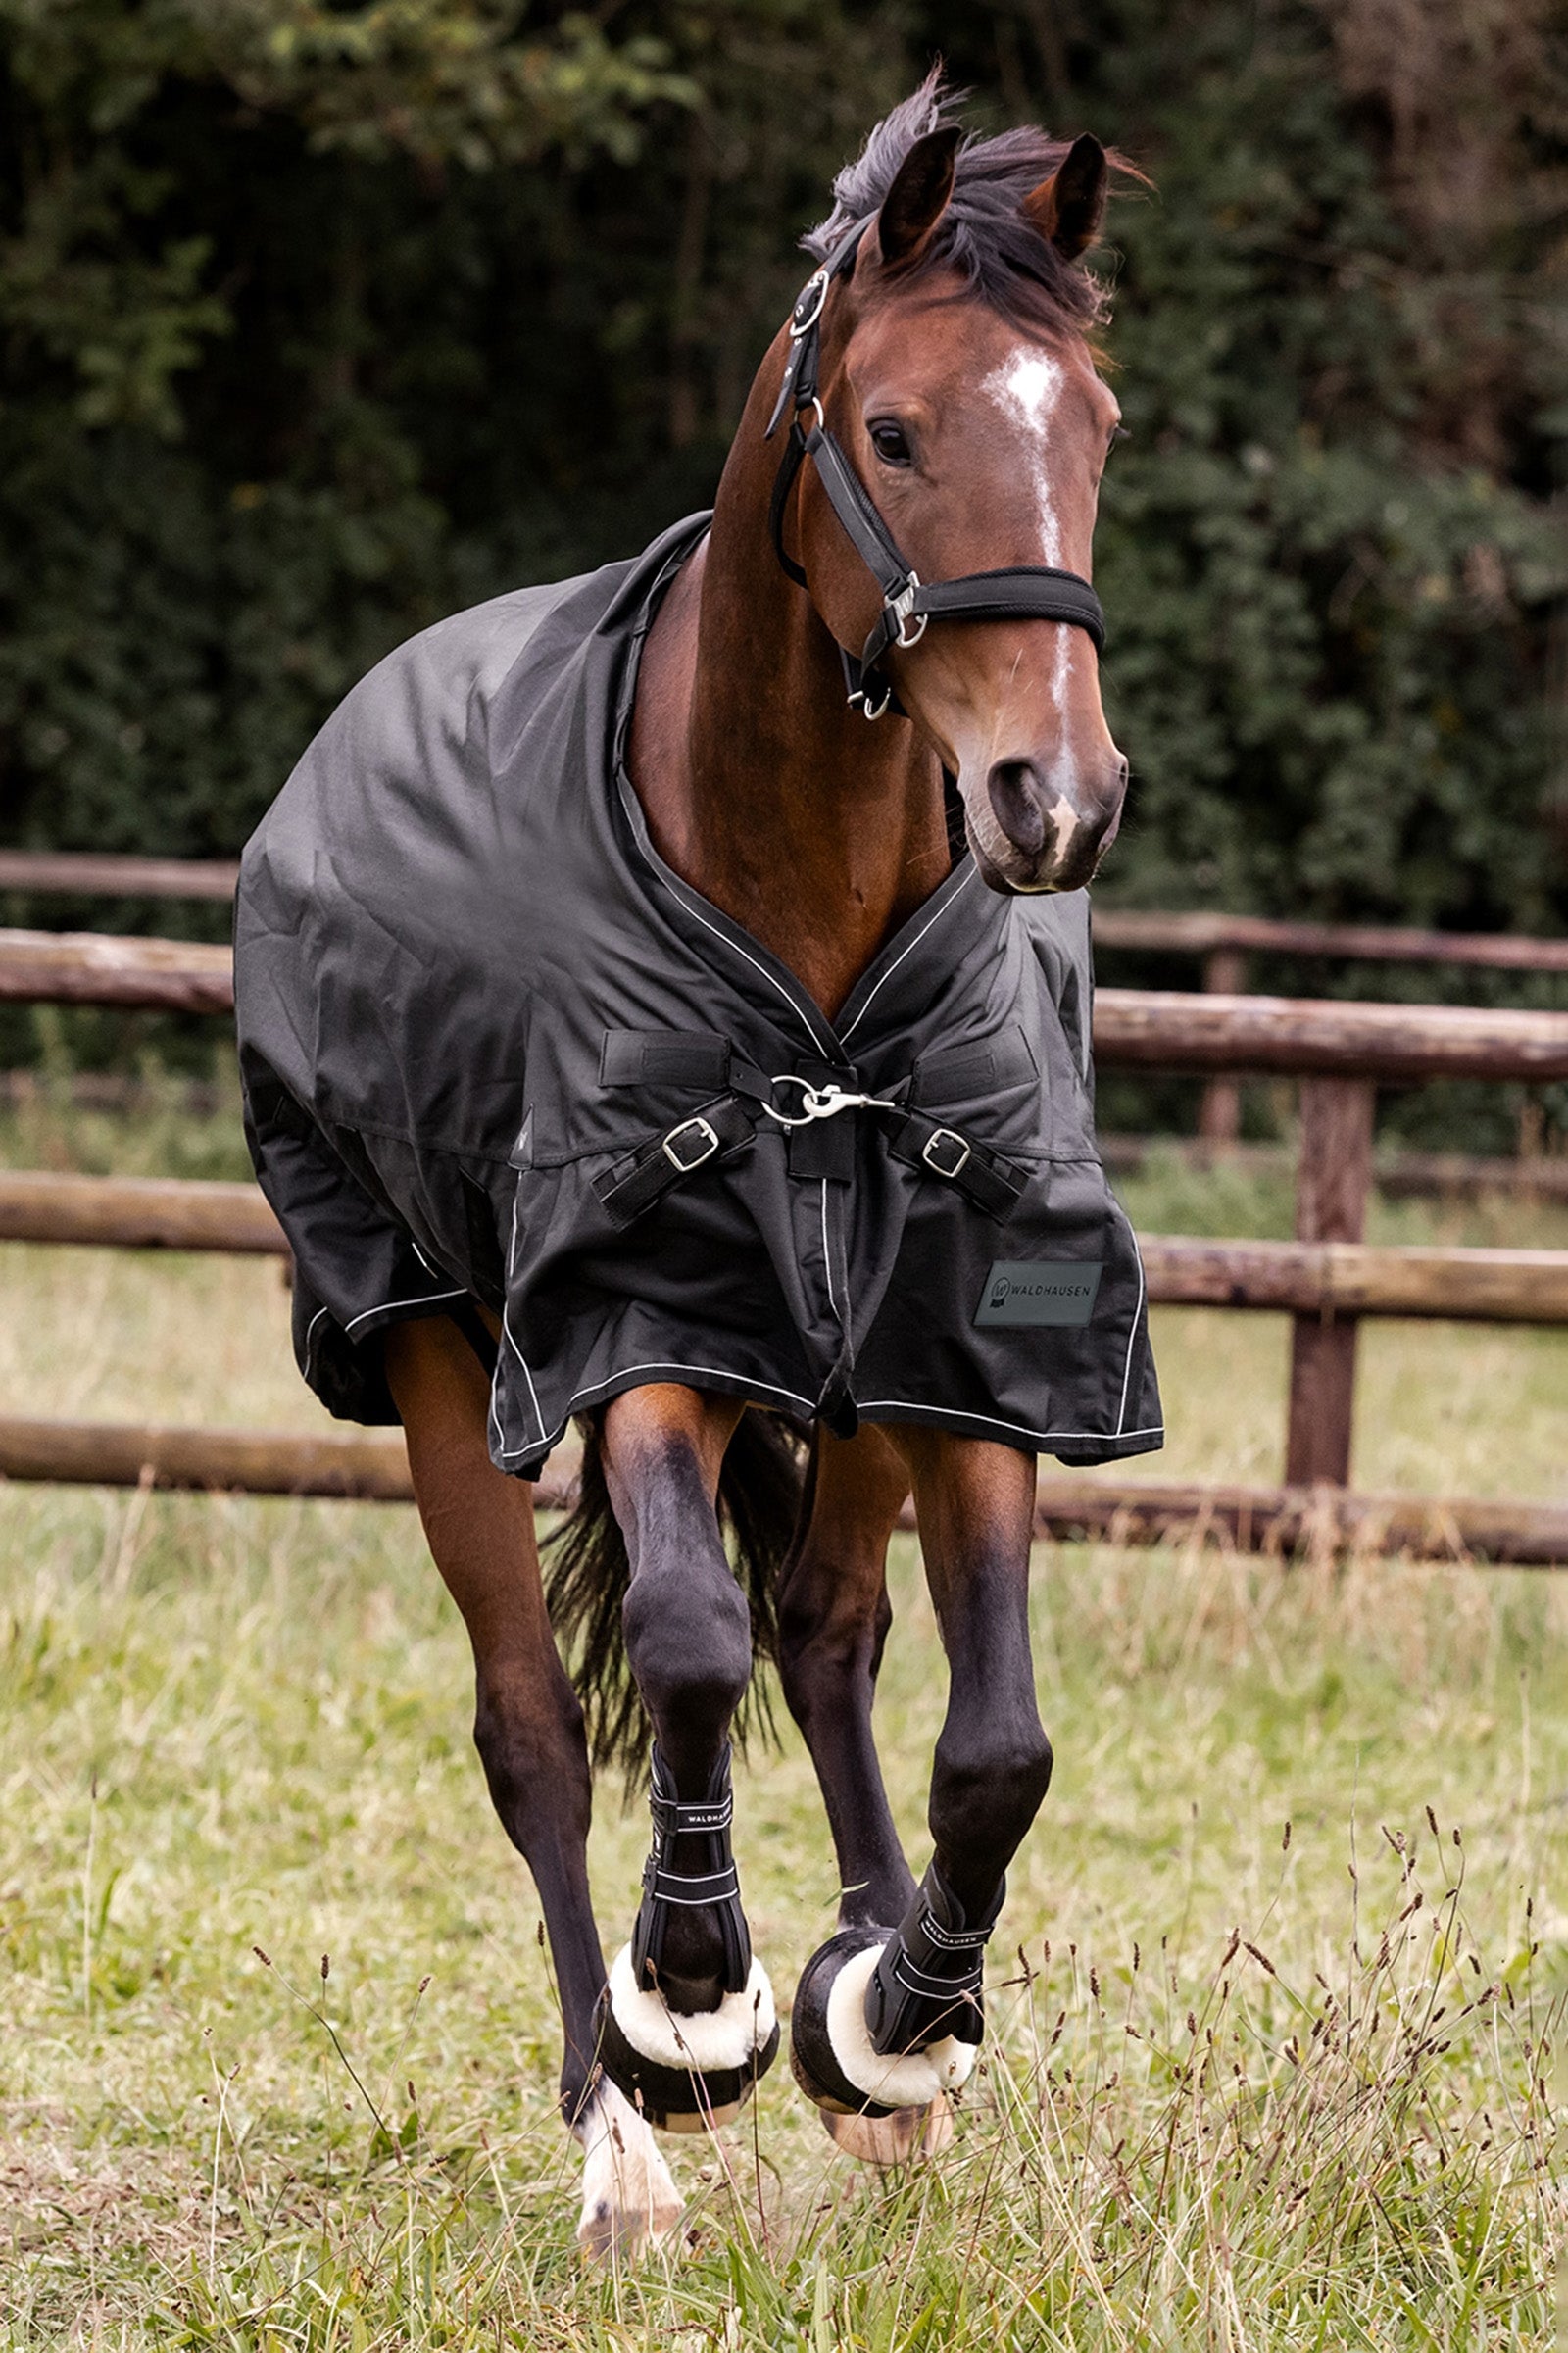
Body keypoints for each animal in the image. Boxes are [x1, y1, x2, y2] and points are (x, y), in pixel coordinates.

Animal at [234, 74, 1158, 2258]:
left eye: (1092, 427)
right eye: (892, 429)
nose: (1052, 799)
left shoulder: (962, 1338)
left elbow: (996, 1740)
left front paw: (893, 2014)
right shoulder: (630, 1319)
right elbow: (671, 1646)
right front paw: (693, 1999)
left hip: (841, 1372)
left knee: (824, 1636)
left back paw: (877, 2044)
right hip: (429, 1339)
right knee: (537, 1725)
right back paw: (617, 2126)